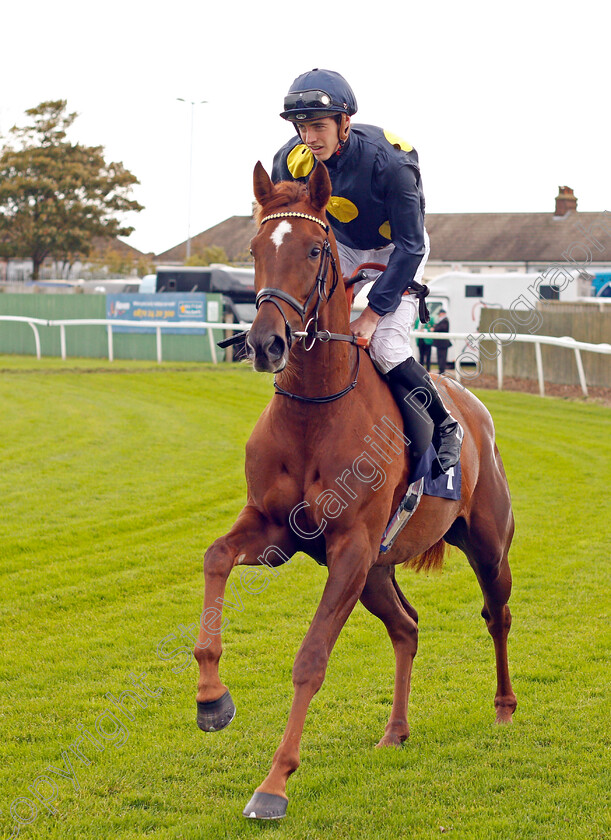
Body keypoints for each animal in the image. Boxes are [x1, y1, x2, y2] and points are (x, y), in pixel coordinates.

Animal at [195, 161, 516, 816]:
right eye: (254, 249)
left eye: (315, 249)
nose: (266, 342)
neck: (315, 412)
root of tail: (476, 410)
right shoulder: (275, 532)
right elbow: (215, 557)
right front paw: (212, 697)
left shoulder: (350, 546)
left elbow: (311, 658)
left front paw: (274, 783)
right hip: (376, 571)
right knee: (407, 626)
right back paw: (395, 731)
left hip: (484, 547)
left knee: (496, 616)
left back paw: (502, 709)